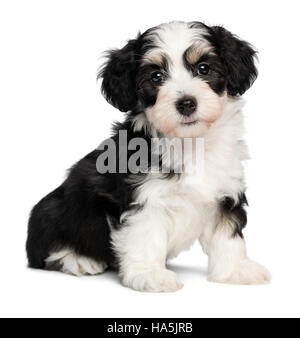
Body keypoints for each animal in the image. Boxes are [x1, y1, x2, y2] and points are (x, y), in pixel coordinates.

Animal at [25, 21, 270, 292]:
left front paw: (235, 270)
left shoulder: (225, 191)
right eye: (156, 77)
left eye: (203, 68)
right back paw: (78, 260)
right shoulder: (142, 197)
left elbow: (227, 235)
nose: (187, 103)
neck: (190, 143)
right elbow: (146, 236)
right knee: (47, 248)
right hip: (53, 211)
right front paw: (150, 274)